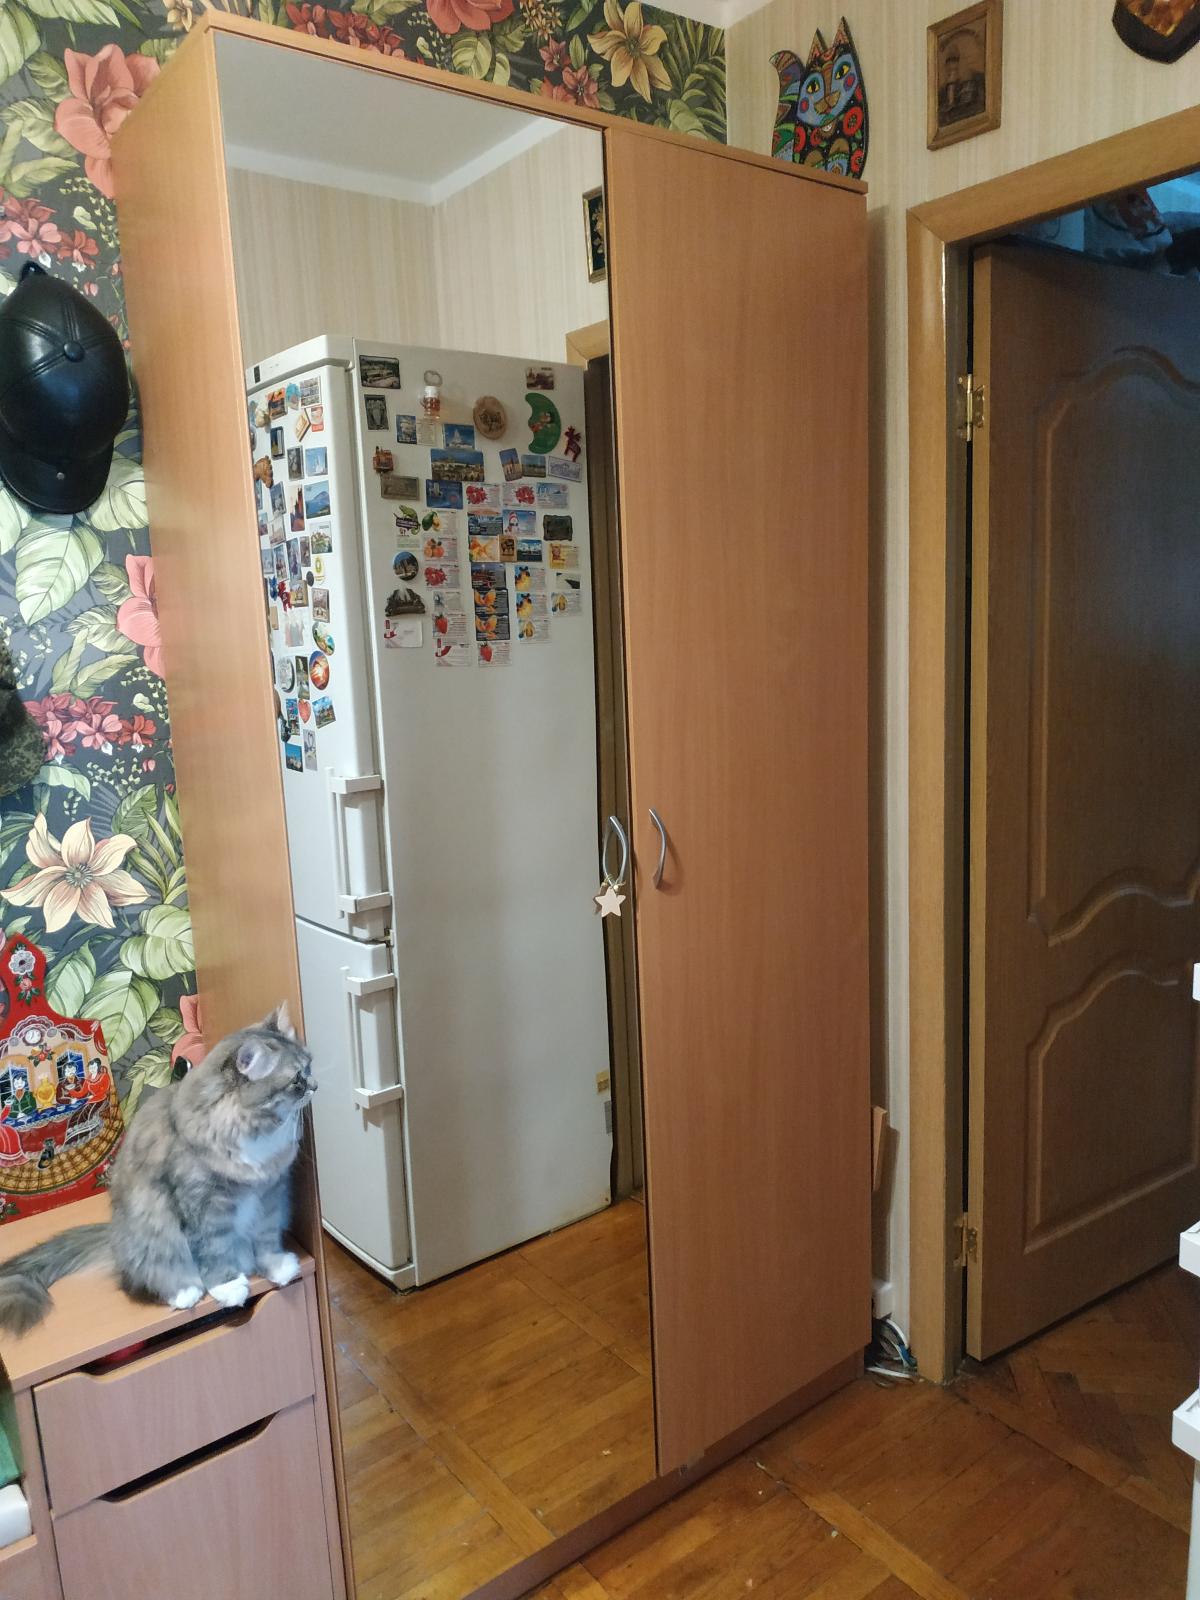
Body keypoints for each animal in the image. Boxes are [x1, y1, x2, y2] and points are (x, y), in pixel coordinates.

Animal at [0, 1002, 315, 1335]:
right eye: (297, 1080)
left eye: (309, 1067)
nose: (315, 1086)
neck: (252, 1130)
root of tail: (114, 1235)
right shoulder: (203, 1203)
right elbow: (215, 1249)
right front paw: (228, 1286)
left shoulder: (270, 1192)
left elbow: (266, 1237)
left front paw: (278, 1267)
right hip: (153, 1229)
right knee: (160, 1272)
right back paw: (186, 1292)